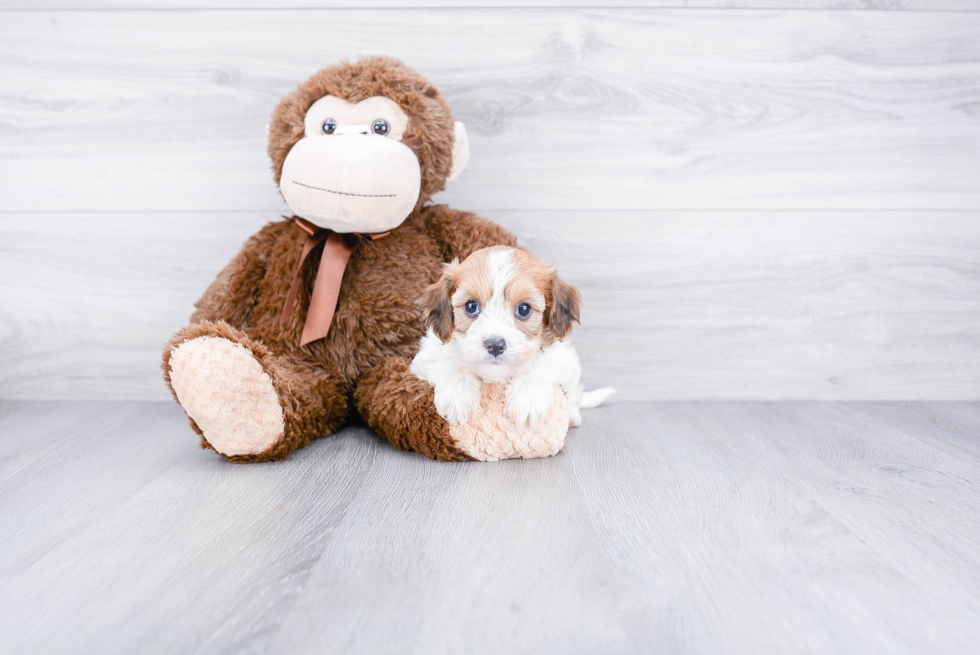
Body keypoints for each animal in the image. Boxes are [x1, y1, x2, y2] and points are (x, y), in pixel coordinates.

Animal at [412, 246, 612, 430]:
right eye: (471, 306)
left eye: (524, 309)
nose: (495, 345)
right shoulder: (426, 357)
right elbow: (451, 364)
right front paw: (457, 394)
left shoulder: (563, 359)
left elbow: (538, 365)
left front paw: (528, 396)